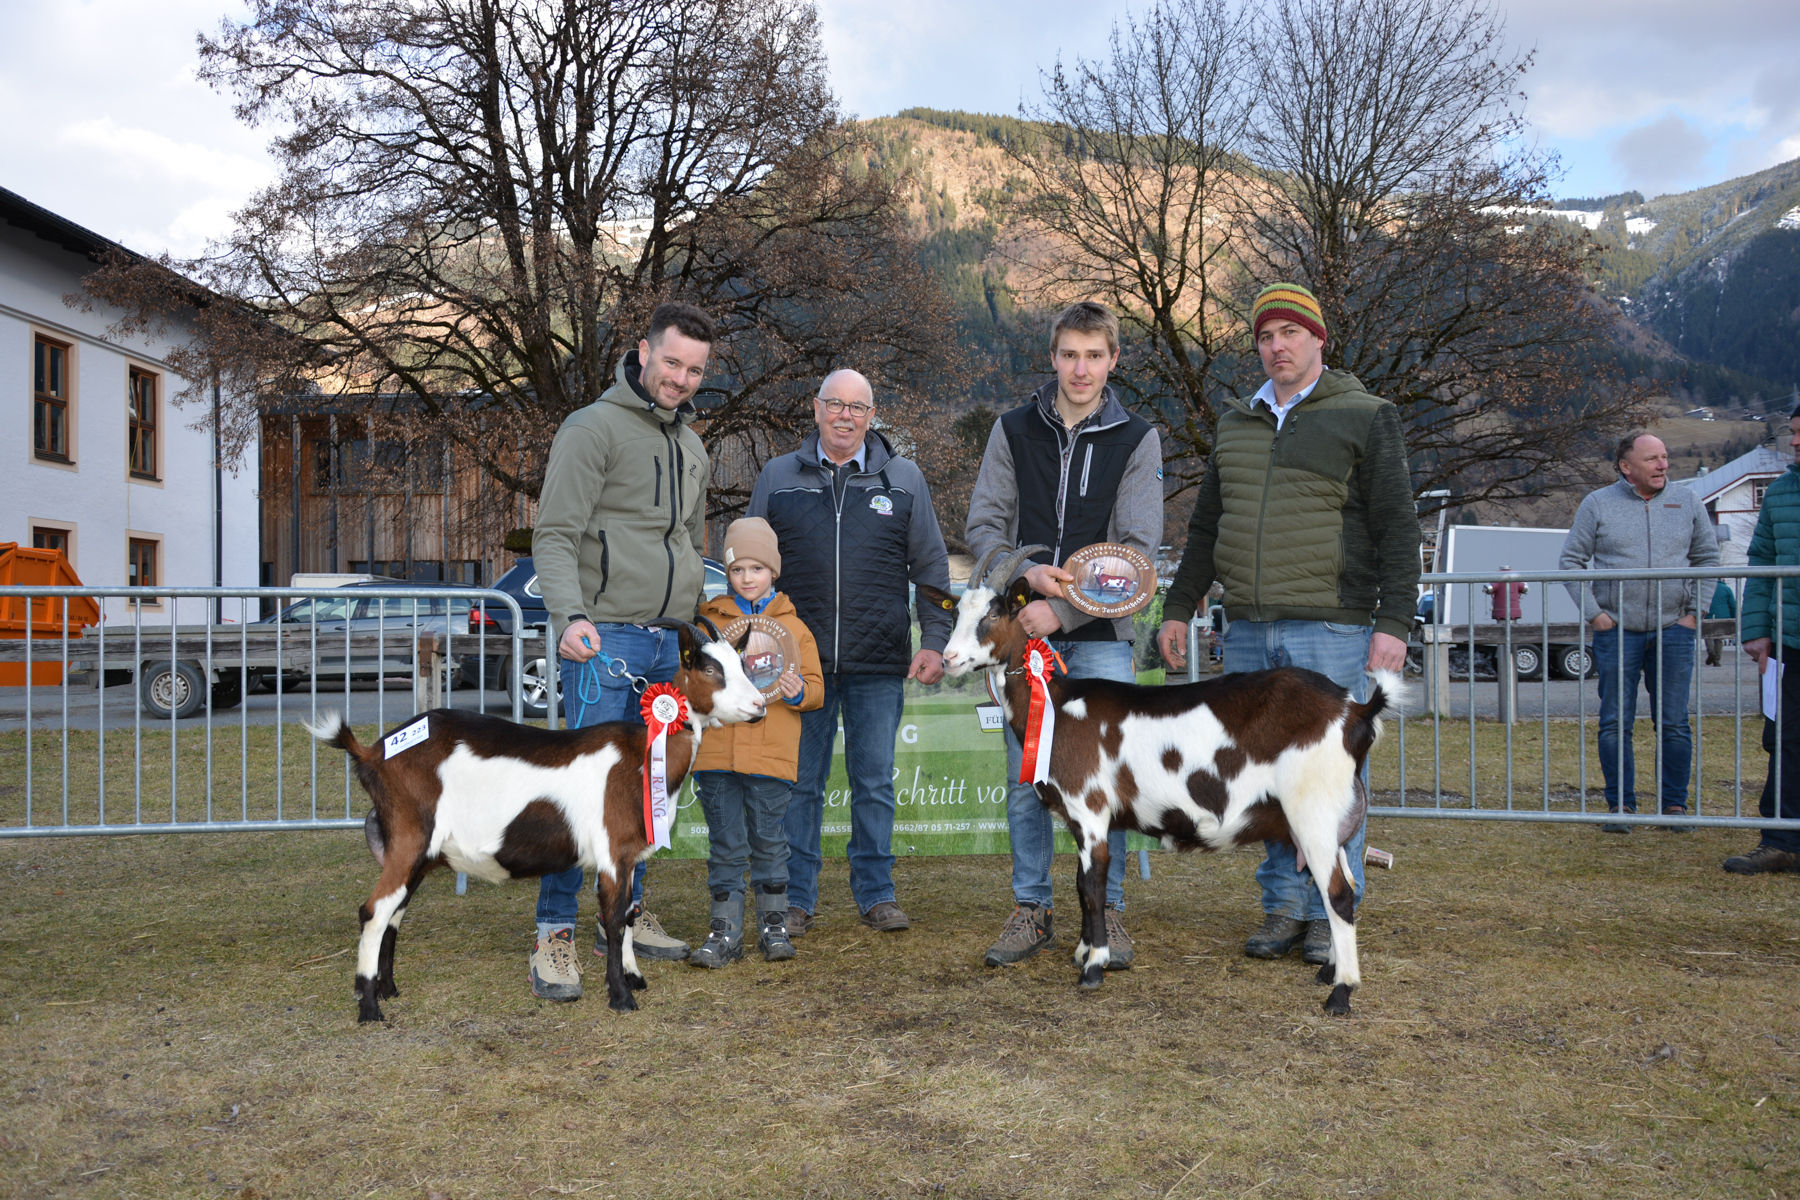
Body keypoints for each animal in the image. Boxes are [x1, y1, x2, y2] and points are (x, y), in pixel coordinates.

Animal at [309, 618, 759, 1021]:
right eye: (710, 669)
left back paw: (388, 989)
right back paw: (369, 1007)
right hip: (409, 837)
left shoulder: (630, 856)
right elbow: (614, 919)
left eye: (741, 662)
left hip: (417, 853)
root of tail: (373, 752)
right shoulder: (613, 851)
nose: (758, 706)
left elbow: (630, 913)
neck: (642, 753)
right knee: (374, 911)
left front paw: (634, 977)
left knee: (394, 912)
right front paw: (621, 997)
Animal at [921, 550, 1396, 1014]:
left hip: (1312, 812)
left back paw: (1341, 993)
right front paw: (1083, 952)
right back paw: (1329, 971)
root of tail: (1356, 710)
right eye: (955, 613)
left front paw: (1093, 967)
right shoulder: (1080, 818)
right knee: (1348, 884)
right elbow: (1078, 883)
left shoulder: (1090, 809)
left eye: (994, 613)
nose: (949, 659)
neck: (1058, 703)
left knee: (1338, 894)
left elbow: (1092, 887)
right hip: (1328, 820)